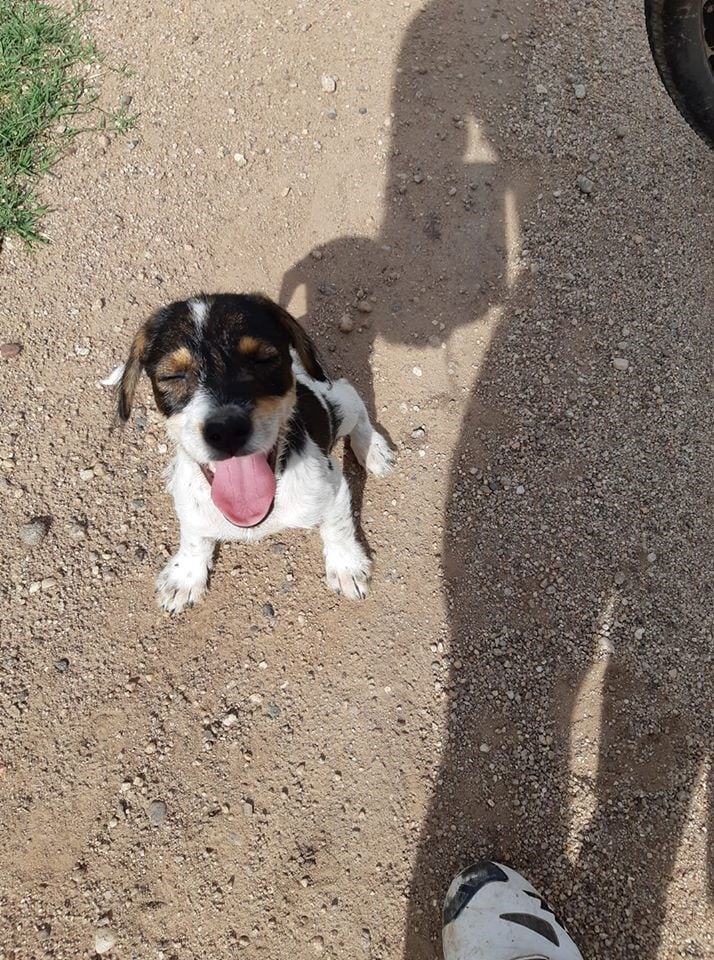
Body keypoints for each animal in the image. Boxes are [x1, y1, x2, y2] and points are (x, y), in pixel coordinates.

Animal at [104, 288, 394, 616]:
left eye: (263, 359)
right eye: (172, 377)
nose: (227, 430)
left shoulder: (334, 490)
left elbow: (339, 527)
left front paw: (347, 565)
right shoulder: (191, 508)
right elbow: (193, 538)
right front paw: (185, 576)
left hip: (340, 405)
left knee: (354, 400)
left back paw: (373, 449)